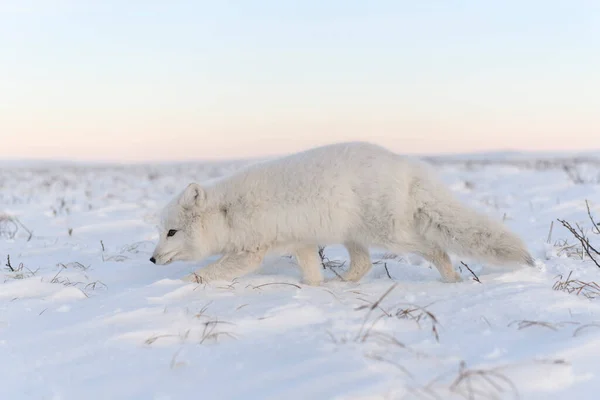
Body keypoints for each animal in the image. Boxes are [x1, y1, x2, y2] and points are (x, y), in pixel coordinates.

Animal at [150, 141, 536, 284]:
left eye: (171, 232)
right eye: (161, 231)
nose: (152, 259)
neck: (227, 212)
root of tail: (408, 166)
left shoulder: (250, 252)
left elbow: (203, 274)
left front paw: (174, 288)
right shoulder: (302, 242)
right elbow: (311, 272)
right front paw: (312, 290)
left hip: (388, 234)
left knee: (435, 249)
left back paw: (452, 280)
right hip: (355, 235)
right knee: (363, 264)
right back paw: (345, 284)